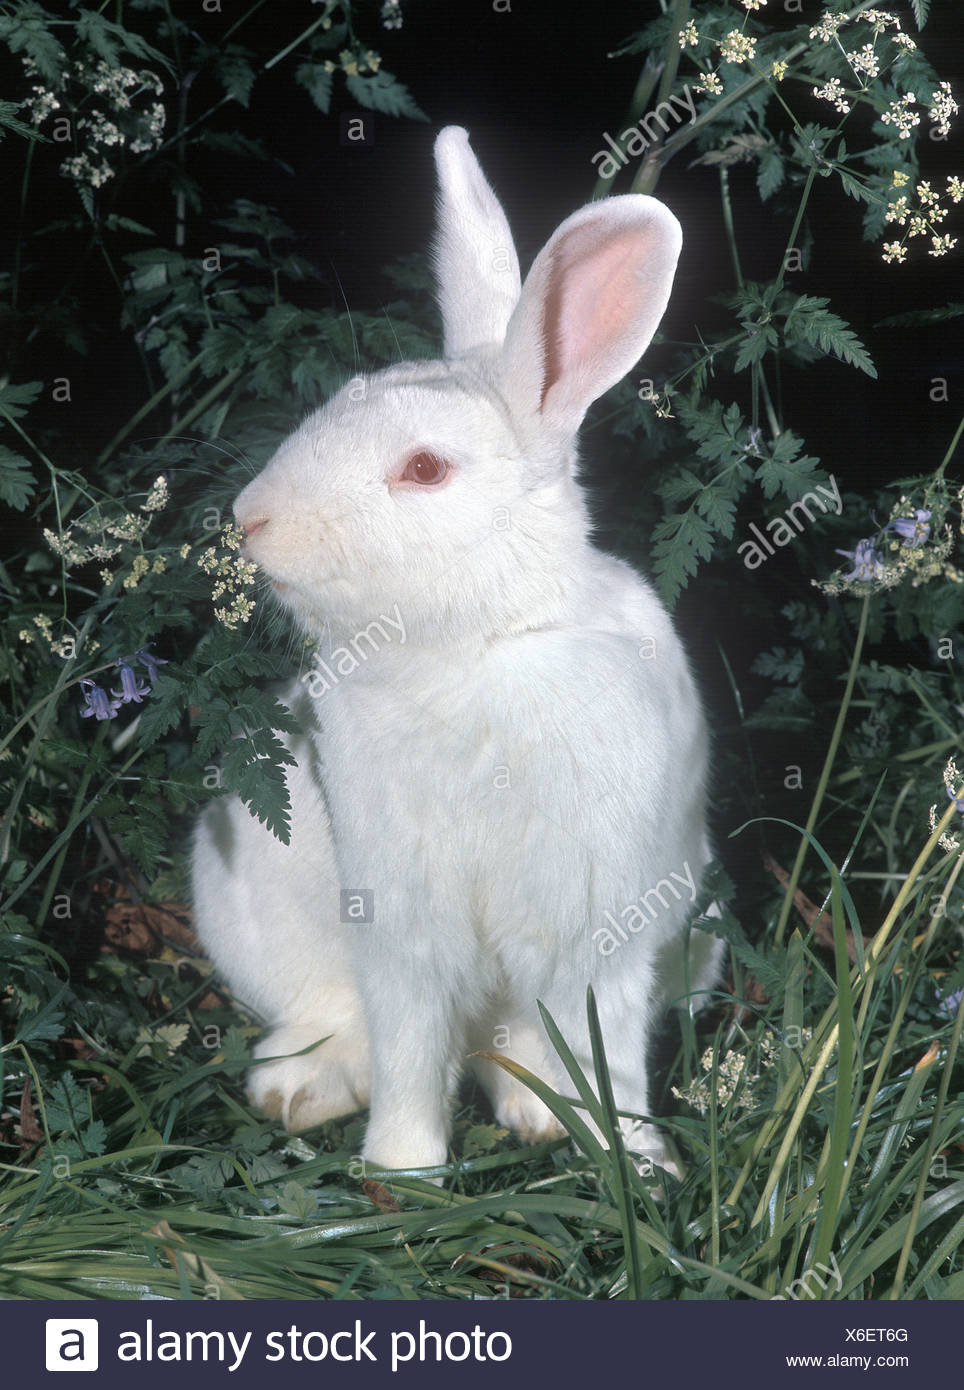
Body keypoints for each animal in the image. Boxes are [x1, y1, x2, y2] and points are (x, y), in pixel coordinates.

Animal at [193, 127, 722, 1173]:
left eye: (426, 469)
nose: (251, 517)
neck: (477, 648)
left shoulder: (602, 916)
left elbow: (608, 1045)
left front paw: (639, 1164)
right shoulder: (399, 916)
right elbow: (408, 1039)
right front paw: (404, 1168)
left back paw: (536, 1114)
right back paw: (299, 1093)